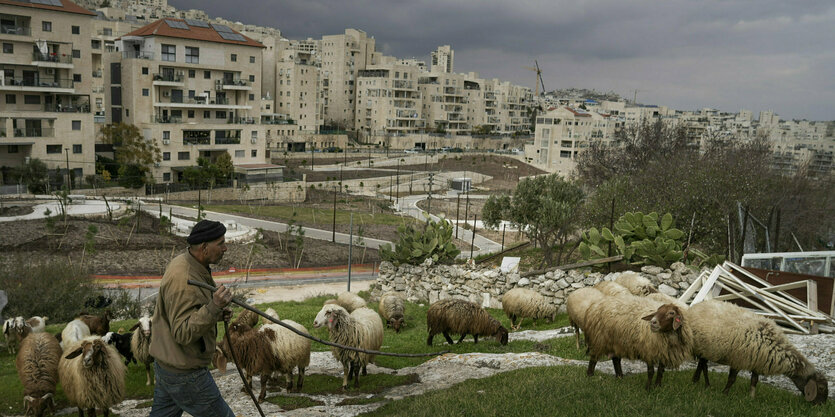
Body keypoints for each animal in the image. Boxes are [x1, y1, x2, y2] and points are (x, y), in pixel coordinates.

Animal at [684, 300, 828, 404]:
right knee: (704, 366)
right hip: (702, 347)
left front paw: (751, 397)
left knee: (701, 364)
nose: (821, 405)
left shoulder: (757, 362)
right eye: (821, 388)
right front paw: (724, 393)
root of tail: (695, 306)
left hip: (705, 349)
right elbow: (732, 379)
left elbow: (754, 381)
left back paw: (695, 381)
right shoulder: (738, 359)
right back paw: (706, 385)